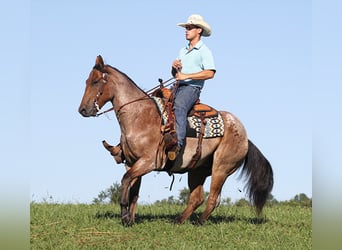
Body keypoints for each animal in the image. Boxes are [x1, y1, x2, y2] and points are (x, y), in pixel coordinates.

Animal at [79, 55, 274, 227]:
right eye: (87, 81)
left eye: (95, 81)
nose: (83, 110)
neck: (139, 116)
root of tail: (245, 138)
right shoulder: (132, 163)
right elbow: (133, 190)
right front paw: (130, 219)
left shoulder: (148, 162)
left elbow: (125, 181)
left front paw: (125, 217)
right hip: (197, 170)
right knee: (197, 198)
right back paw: (179, 221)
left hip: (221, 167)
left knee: (213, 198)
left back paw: (199, 222)